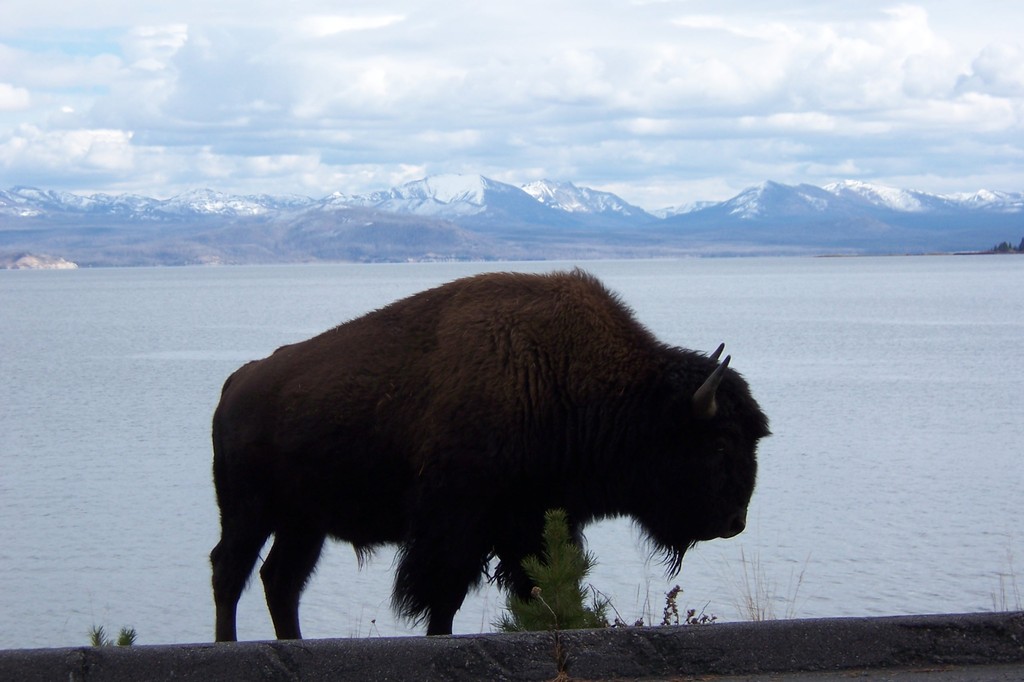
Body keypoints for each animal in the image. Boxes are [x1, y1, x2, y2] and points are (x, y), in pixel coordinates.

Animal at [210, 269, 769, 640]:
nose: (736, 521)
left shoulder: (529, 523)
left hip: (303, 524)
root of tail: (239, 381)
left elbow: (533, 587)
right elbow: (443, 597)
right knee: (229, 571)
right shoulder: (455, 527)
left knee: (279, 581)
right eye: (721, 442)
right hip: (248, 512)